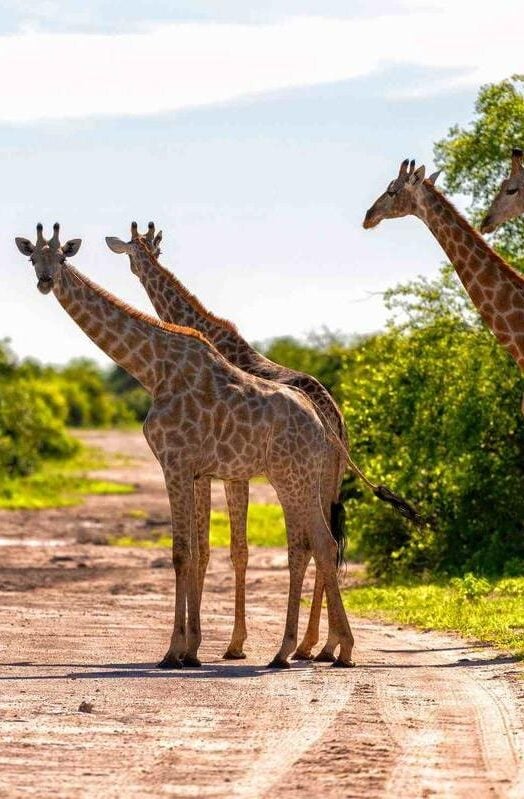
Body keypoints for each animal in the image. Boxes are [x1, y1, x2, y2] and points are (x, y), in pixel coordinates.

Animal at [14, 223, 356, 668]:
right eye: (32, 258)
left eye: (61, 257)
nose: (45, 281)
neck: (152, 368)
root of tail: (325, 424)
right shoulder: (197, 470)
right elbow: (197, 552)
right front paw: (192, 649)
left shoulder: (175, 463)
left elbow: (182, 553)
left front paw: (175, 651)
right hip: (306, 479)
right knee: (321, 543)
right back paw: (323, 648)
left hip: (291, 477)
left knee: (315, 544)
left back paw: (306, 649)